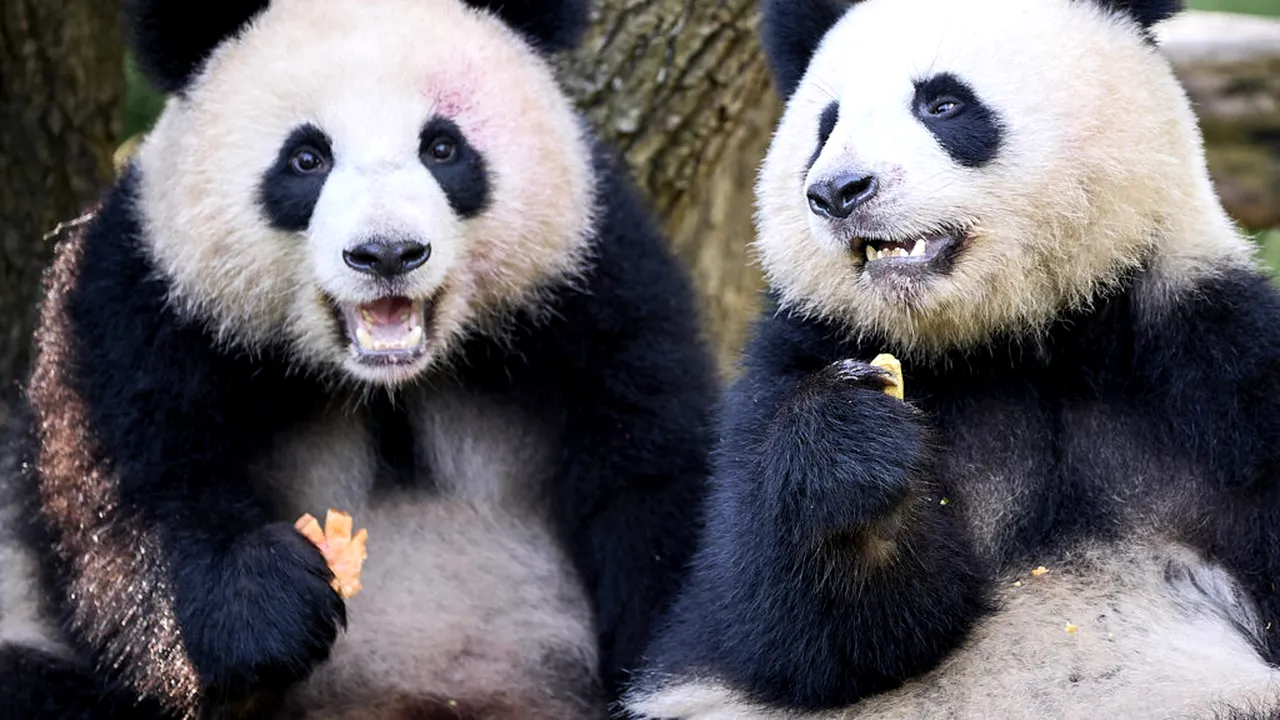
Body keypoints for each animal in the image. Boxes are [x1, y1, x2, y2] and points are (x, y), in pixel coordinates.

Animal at [0, 0, 717, 718]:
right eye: (306, 157)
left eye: (442, 147)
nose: (387, 253)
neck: (387, 384)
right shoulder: (138, 304)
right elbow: (132, 498)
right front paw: (266, 603)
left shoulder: (594, 284)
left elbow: (655, 477)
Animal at [622, 0, 1280, 718]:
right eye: (826, 126)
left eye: (942, 103)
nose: (839, 191)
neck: (1020, 339)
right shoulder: (788, 366)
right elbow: (779, 635)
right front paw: (853, 447)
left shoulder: (1216, 371)